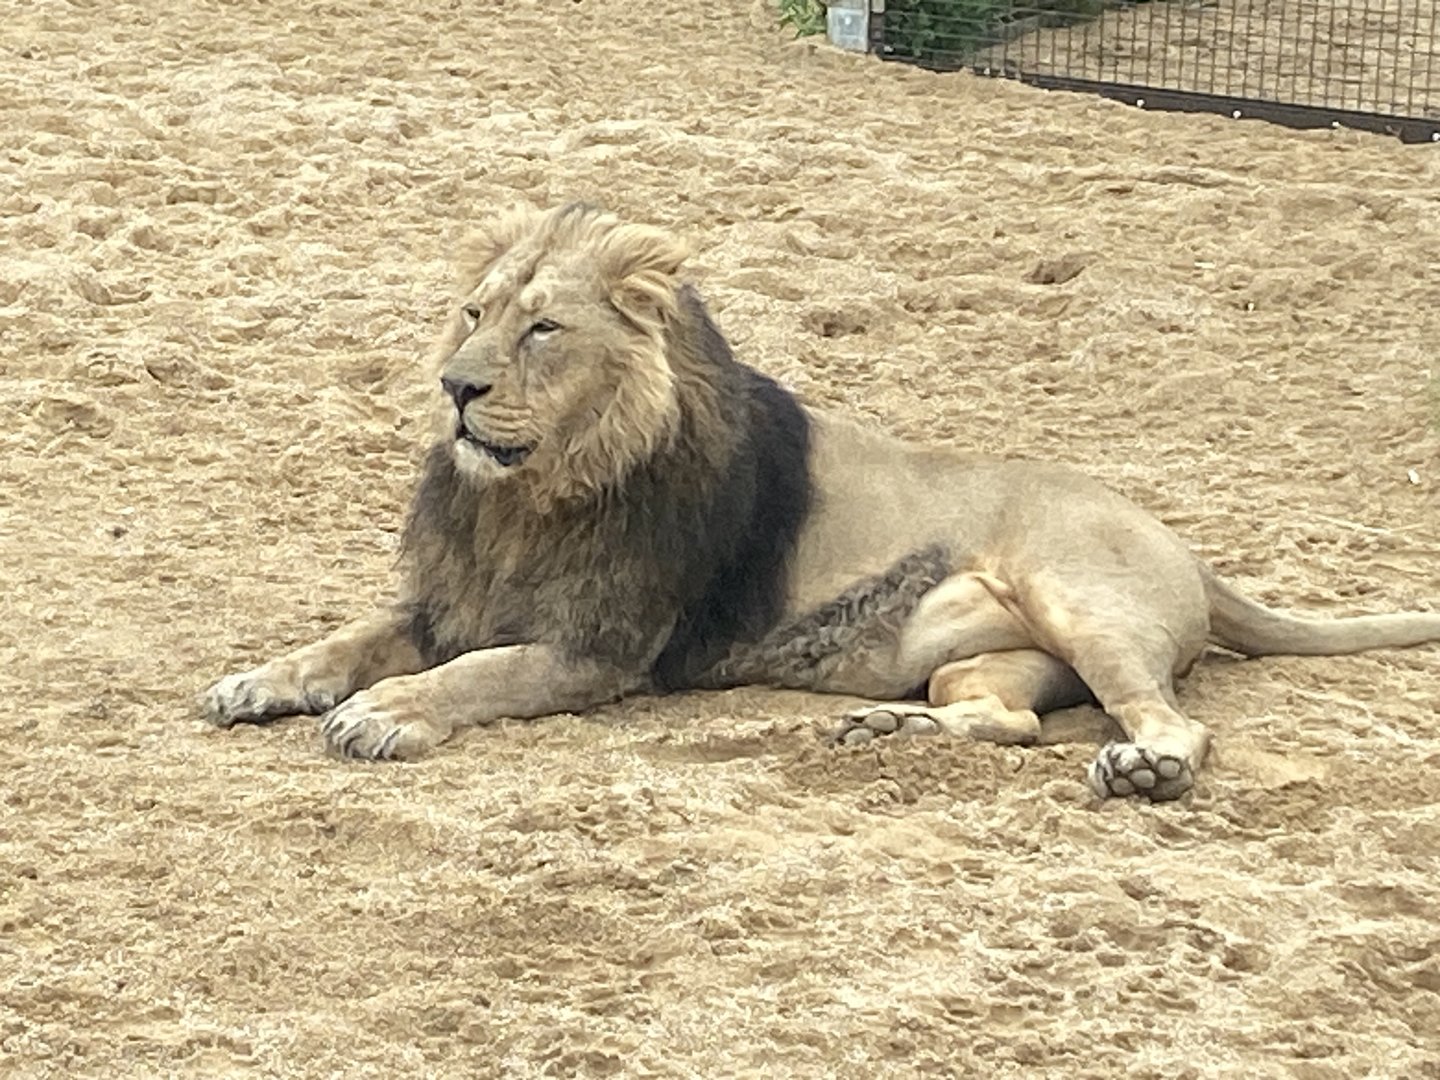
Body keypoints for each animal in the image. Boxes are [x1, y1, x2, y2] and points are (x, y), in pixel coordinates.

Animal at [203, 202, 1440, 802]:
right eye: (472, 314)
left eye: (543, 328)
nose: (455, 388)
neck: (533, 493)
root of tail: (1186, 548)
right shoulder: (452, 599)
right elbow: (345, 638)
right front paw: (255, 681)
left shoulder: (598, 648)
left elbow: (469, 677)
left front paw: (380, 716)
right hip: (994, 660)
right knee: (1008, 719)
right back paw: (884, 728)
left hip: (1081, 602)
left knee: (1172, 722)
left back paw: (1146, 772)